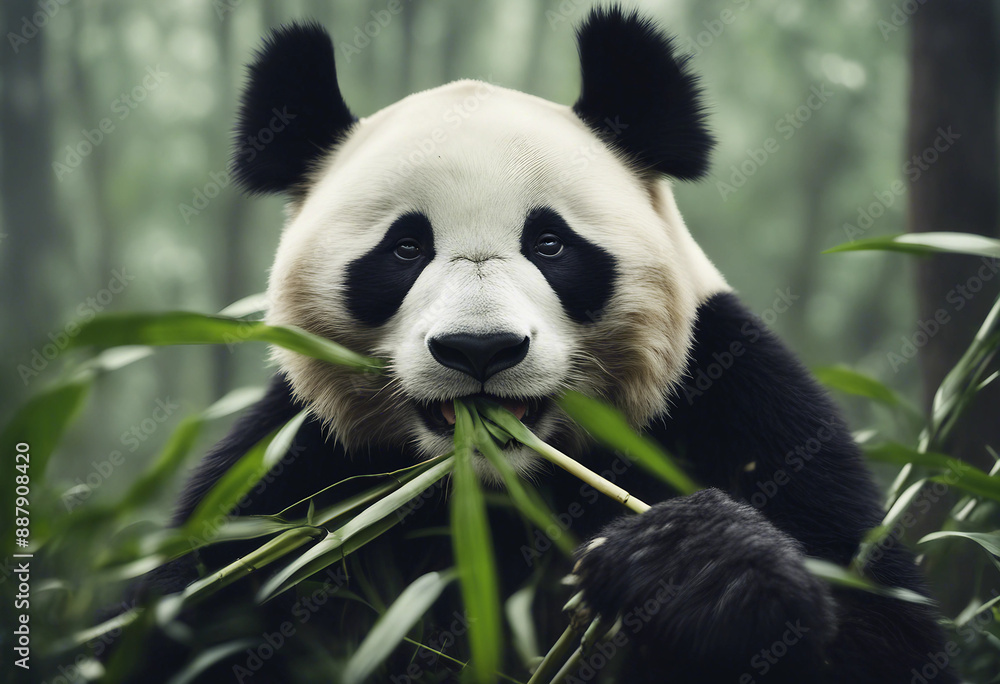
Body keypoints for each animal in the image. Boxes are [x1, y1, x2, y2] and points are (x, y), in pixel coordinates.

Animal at [135, 6, 955, 684]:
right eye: (405, 249)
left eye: (551, 244)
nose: (480, 350)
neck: (502, 485)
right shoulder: (292, 475)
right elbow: (196, 618)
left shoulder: (740, 402)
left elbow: (880, 629)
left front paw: (698, 570)